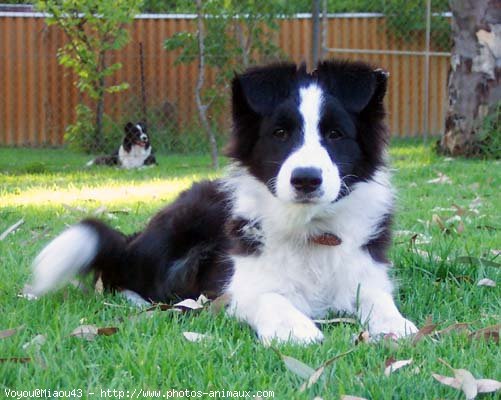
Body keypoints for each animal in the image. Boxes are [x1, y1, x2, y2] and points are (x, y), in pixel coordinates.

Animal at [29, 58, 416, 344]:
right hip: (172, 235)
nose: (306, 179)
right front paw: (294, 327)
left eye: (335, 134)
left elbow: (378, 298)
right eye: (280, 133)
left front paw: (397, 324)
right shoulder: (236, 285)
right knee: (117, 272)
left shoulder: (365, 270)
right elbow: (266, 295)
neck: (310, 229)